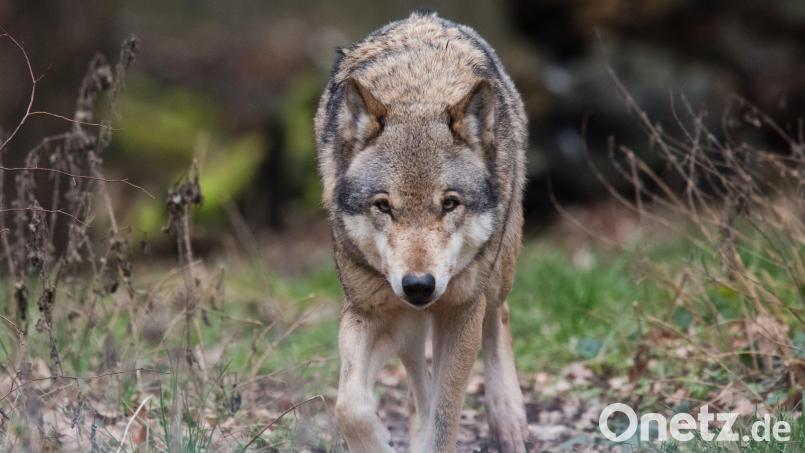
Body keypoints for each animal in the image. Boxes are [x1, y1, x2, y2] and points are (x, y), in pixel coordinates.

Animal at [315, 10, 528, 453]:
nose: (418, 285)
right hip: (406, 323)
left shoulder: (461, 311)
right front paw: (378, 440)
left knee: (499, 315)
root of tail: (425, 16)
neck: (418, 93)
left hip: (496, 273)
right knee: (418, 383)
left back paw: (509, 421)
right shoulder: (367, 309)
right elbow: (349, 406)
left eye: (449, 203)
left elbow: (445, 420)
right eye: (383, 206)